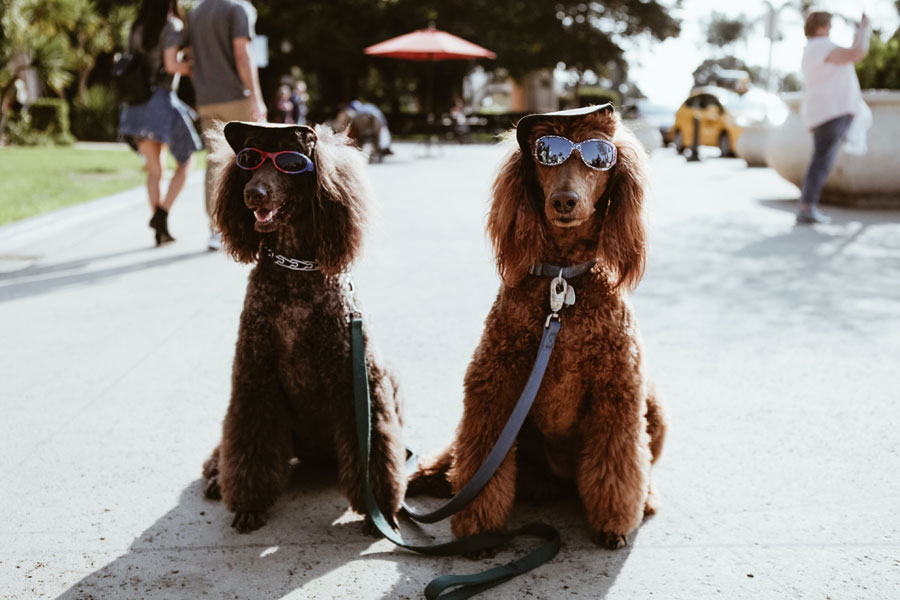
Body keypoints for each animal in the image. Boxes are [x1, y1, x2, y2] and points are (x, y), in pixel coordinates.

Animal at [204, 122, 404, 536]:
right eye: (249, 159)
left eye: (291, 162)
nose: (253, 193)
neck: (296, 269)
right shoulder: (254, 379)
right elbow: (247, 441)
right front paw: (248, 505)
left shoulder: (359, 382)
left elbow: (377, 449)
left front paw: (379, 511)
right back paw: (215, 477)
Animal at [412, 104, 664, 548]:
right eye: (546, 154)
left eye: (599, 157)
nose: (565, 200)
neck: (562, 279)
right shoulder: (493, 385)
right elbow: (480, 456)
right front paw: (478, 527)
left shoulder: (618, 391)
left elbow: (619, 463)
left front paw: (614, 522)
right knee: (457, 452)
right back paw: (430, 476)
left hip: (656, 406)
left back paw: (644, 497)